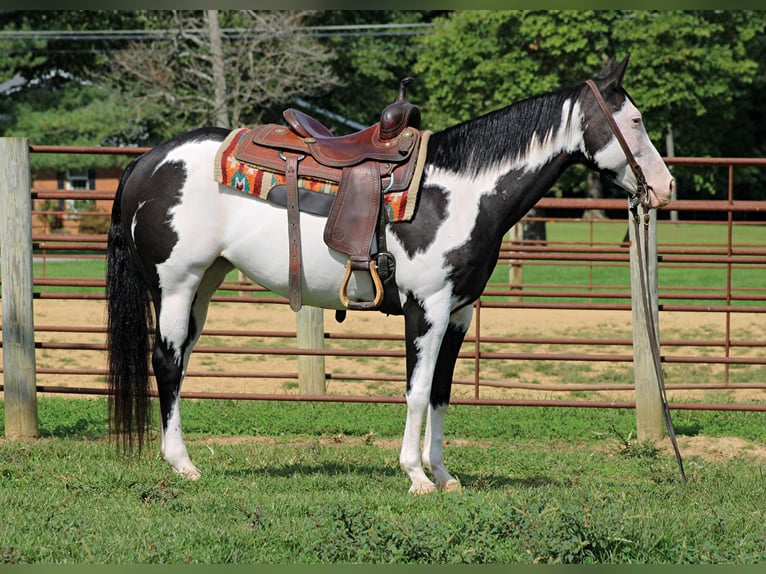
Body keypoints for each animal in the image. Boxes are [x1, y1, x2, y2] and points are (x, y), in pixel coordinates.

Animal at [106, 56, 672, 496]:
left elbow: (441, 390)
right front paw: (415, 475)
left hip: (204, 286)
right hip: (175, 286)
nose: (665, 187)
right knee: (167, 362)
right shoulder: (427, 307)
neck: (460, 191)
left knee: (181, 362)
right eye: (636, 119)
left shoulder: (459, 312)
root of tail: (147, 161)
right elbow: (416, 391)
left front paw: (443, 475)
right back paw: (182, 464)